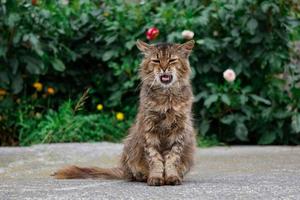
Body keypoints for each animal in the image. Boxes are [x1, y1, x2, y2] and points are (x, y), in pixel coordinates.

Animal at [52, 39, 196, 186]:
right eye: (156, 60)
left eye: (172, 60)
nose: (164, 68)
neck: (166, 98)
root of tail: (124, 171)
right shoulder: (148, 129)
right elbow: (155, 159)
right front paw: (155, 177)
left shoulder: (179, 130)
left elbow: (172, 159)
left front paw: (172, 177)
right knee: (135, 174)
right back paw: (144, 176)